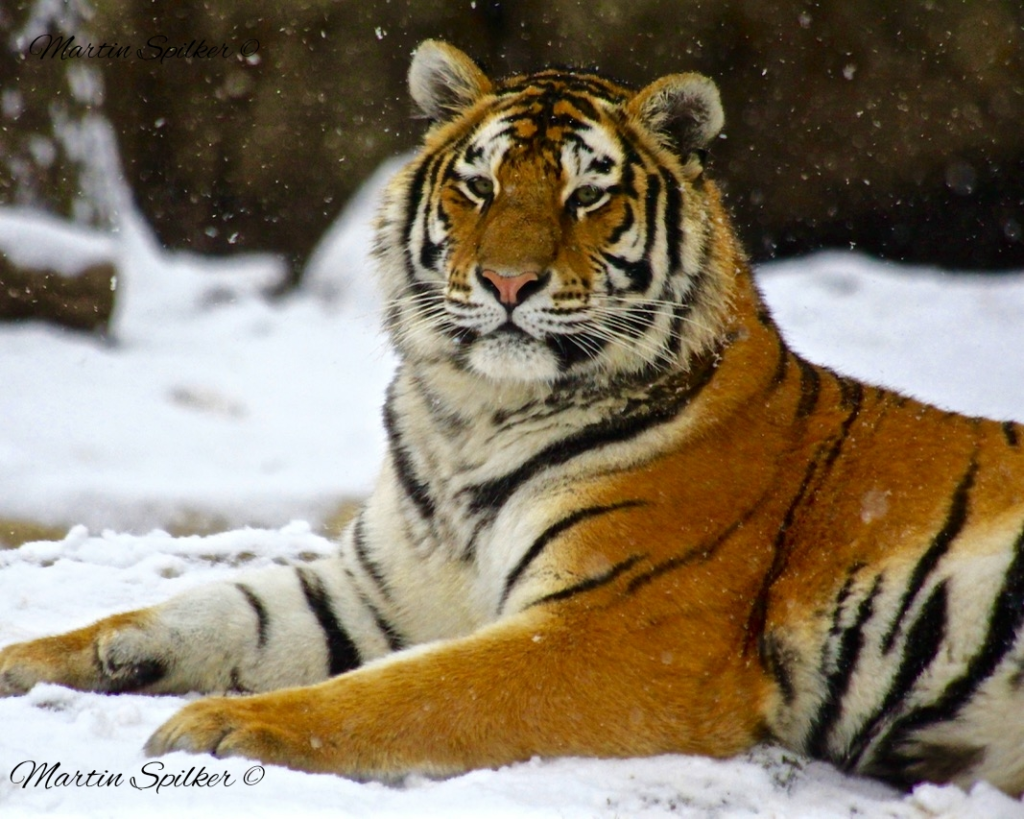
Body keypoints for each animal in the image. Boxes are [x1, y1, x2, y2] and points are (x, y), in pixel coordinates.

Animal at [2, 38, 1024, 794]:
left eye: (588, 195)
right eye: (481, 186)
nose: (505, 282)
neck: (472, 414)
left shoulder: (612, 627)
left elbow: (408, 692)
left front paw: (223, 723)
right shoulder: (384, 586)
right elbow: (213, 609)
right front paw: (38, 656)